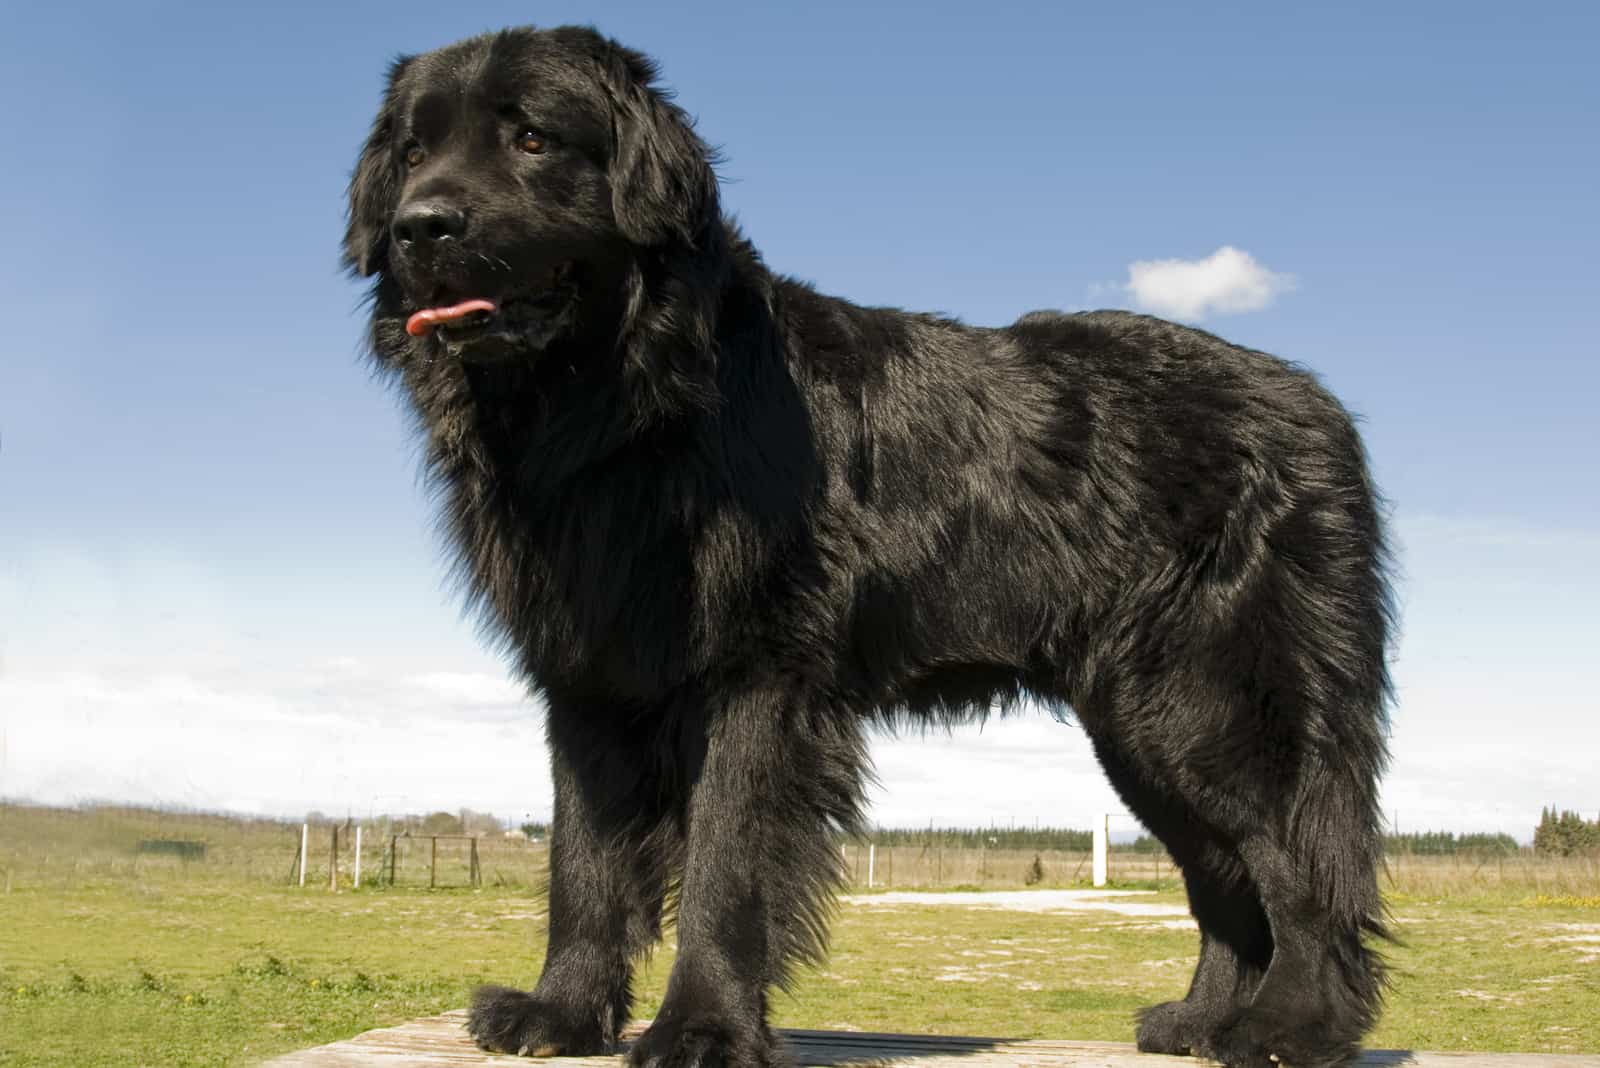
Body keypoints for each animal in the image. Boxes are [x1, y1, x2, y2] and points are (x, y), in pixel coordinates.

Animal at [344, 24, 1395, 1068]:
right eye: (413, 153)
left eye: (531, 139)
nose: (420, 226)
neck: (625, 405)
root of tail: (1321, 407)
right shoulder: (590, 679)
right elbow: (585, 864)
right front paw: (560, 1015)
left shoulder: (759, 675)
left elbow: (724, 864)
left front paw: (701, 1030)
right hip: (1135, 728)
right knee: (1224, 881)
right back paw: (1200, 1025)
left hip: (1207, 703)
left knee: (1301, 868)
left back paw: (1289, 1030)